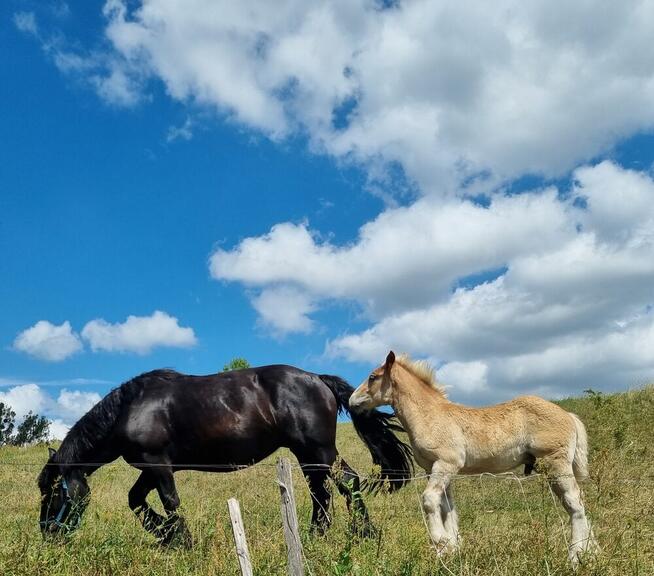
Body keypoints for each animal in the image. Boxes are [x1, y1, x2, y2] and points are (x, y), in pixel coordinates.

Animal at [38, 364, 412, 544]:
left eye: (54, 492)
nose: (48, 534)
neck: (131, 409)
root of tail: (317, 379)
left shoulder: (158, 465)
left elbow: (170, 502)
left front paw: (181, 540)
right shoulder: (150, 468)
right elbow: (136, 501)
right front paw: (164, 536)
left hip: (318, 450)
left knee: (346, 481)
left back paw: (364, 533)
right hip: (308, 455)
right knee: (322, 492)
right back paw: (317, 536)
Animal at [352, 352, 604, 568]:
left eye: (372, 377)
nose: (353, 401)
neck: (431, 415)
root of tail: (568, 415)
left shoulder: (446, 464)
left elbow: (429, 500)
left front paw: (441, 543)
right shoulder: (440, 470)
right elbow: (448, 509)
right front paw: (453, 550)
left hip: (556, 462)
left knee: (573, 502)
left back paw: (576, 556)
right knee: (576, 501)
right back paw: (591, 552)